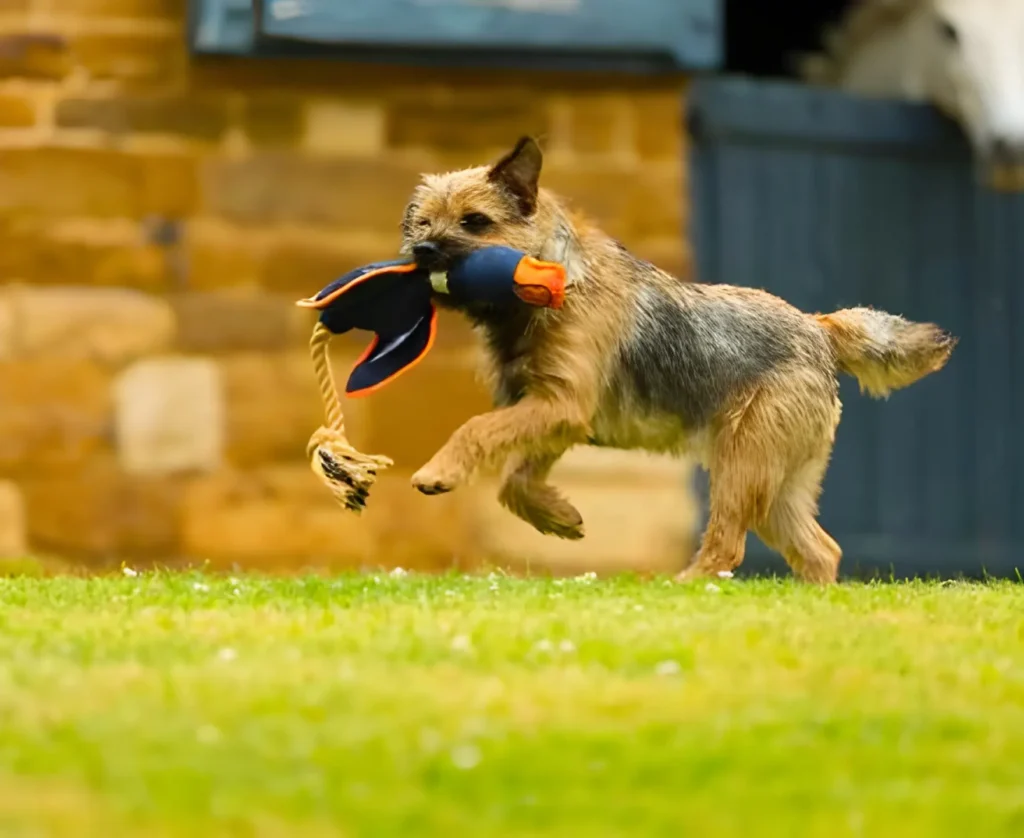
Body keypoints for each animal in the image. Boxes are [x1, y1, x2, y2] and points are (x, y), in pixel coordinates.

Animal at [395, 135, 954, 581]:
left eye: (475, 222)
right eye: (420, 223)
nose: (423, 250)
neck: (555, 281)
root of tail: (819, 329)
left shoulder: (560, 404)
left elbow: (476, 429)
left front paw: (437, 472)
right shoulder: (552, 413)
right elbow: (515, 479)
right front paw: (558, 515)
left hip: (742, 464)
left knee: (728, 545)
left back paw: (682, 588)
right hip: (777, 485)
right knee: (820, 550)